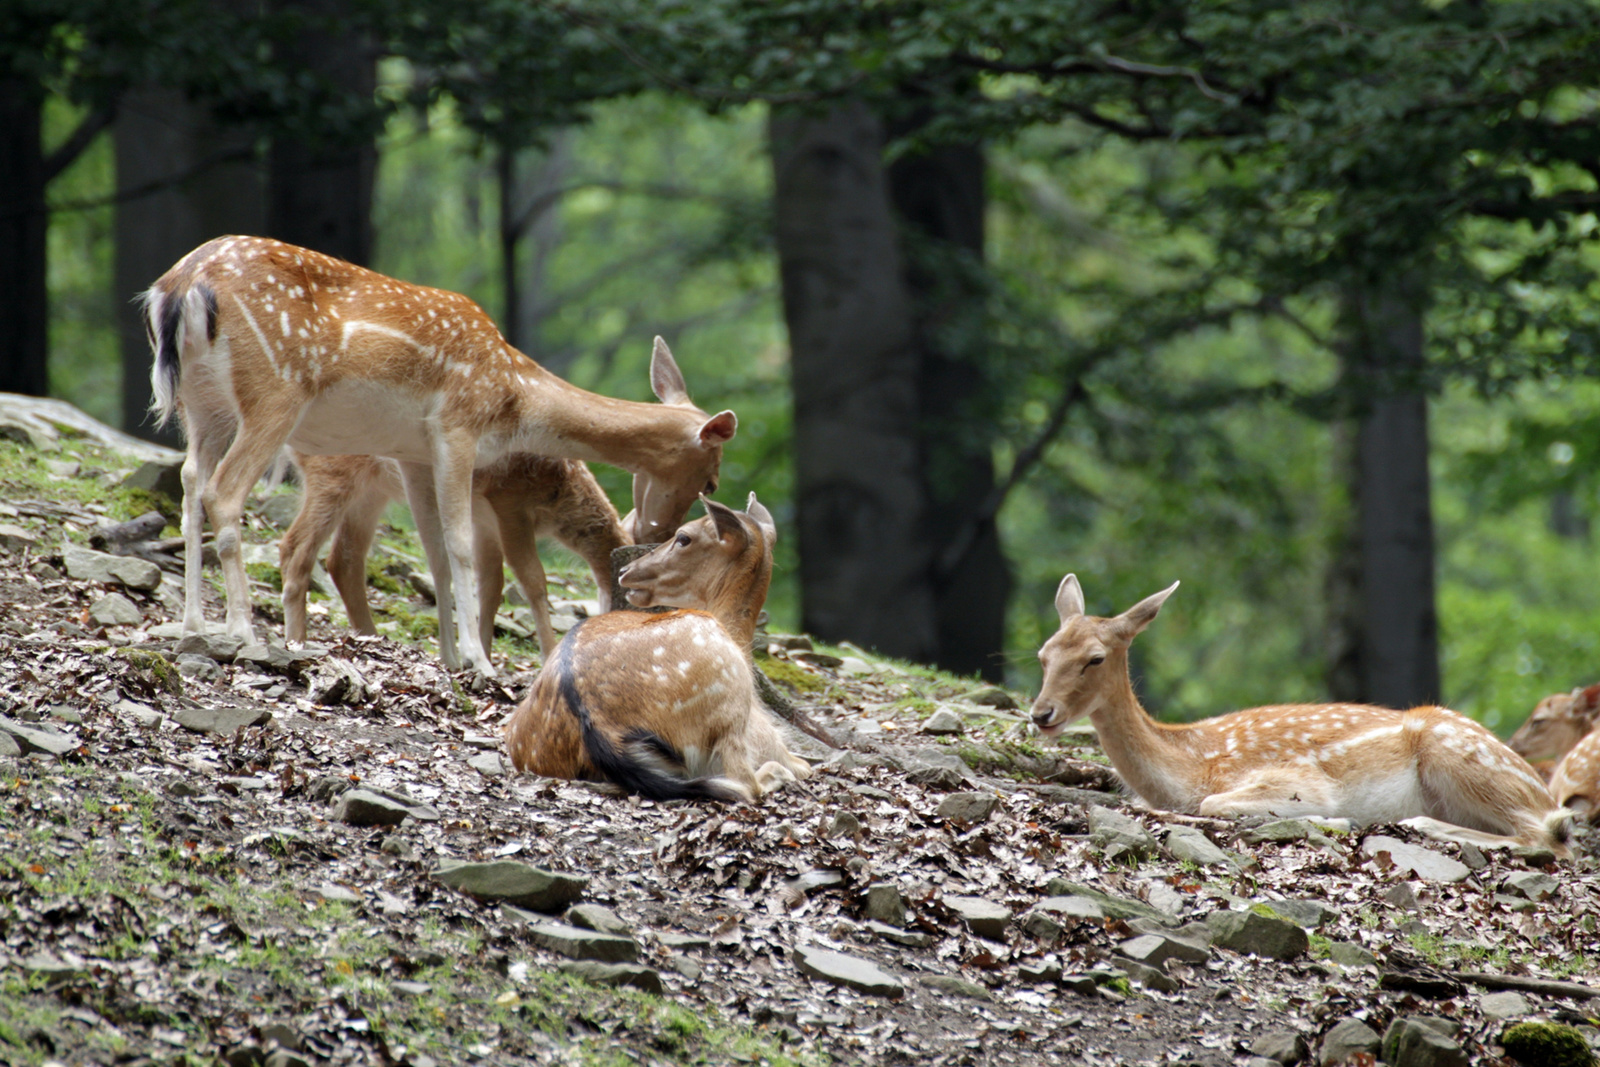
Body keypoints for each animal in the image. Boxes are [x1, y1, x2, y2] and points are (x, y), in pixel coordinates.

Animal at [278, 447, 627, 659]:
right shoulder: (508, 503)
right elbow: (533, 580)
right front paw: (548, 654)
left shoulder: (484, 520)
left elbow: (491, 585)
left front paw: (485, 655)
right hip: (332, 472)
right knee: (294, 546)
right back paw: (296, 641)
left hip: (372, 490)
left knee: (343, 559)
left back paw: (371, 638)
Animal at [505, 492, 812, 799]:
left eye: (683, 537)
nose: (625, 571)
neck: (738, 636)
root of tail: (601, 730)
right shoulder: (766, 737)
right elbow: (803, 765)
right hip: (729, 701)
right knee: (746, 782)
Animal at [1030, 572, 1568, 857]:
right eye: (1043, 654)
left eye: (1095, 658)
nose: (1041, 713)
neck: (1189, 766)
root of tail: (1544, 792)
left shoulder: (1294, 779)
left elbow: (1216, 804)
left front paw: (1332, 820)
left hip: (1459, 756)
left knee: (1546, 837)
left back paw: (1419, 824)